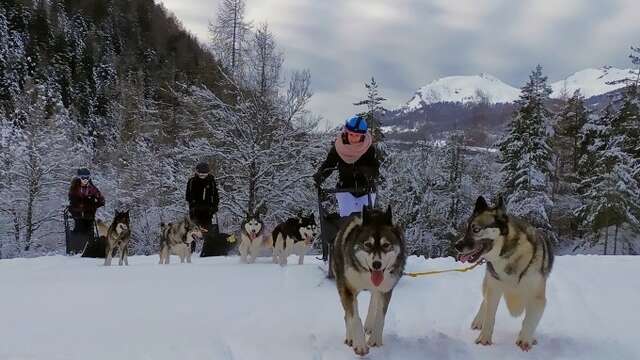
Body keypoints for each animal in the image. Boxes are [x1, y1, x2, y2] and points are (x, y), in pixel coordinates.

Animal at [332, 205, 402, 358]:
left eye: (386, 245)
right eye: (367, 244)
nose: (376, 264)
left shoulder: (386, 289)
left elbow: (380, 315)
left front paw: (375, 338)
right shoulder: (347, 289)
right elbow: (354, 318)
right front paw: (360, 344)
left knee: (373, 299)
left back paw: (369, 325)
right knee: (347, 315)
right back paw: (350, 337)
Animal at [456, 197, 556, 352]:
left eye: (476, 229)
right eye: (466, 229)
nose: (456, 246)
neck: (508, 255)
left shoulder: (537, 298)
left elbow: (530, 321)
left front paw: (525, 339)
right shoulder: (494, 289)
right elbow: (490, 316)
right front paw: (484, 340)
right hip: (489, 284)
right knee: (484, 301)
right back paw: (478, 320)